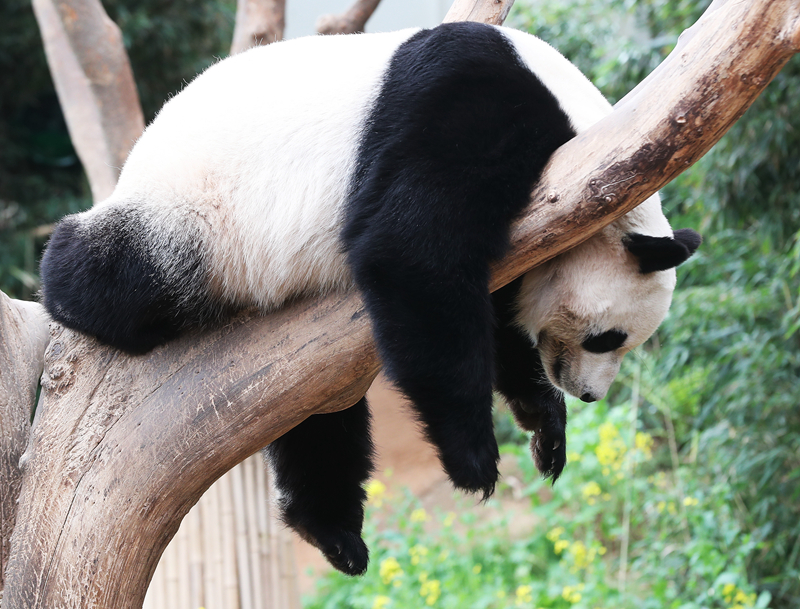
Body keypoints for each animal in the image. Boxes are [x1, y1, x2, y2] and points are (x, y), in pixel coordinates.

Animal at [39, 22, 700, 576]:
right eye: (608, 339)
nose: (589, 393)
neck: (586, 136)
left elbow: (492, 318)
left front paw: (545, 425)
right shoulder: (469, 103)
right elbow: (411, 253)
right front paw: (474, 458)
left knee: (318, 420)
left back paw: (334, 534)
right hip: (196, 213)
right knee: (125, 275)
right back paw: (64, 288)